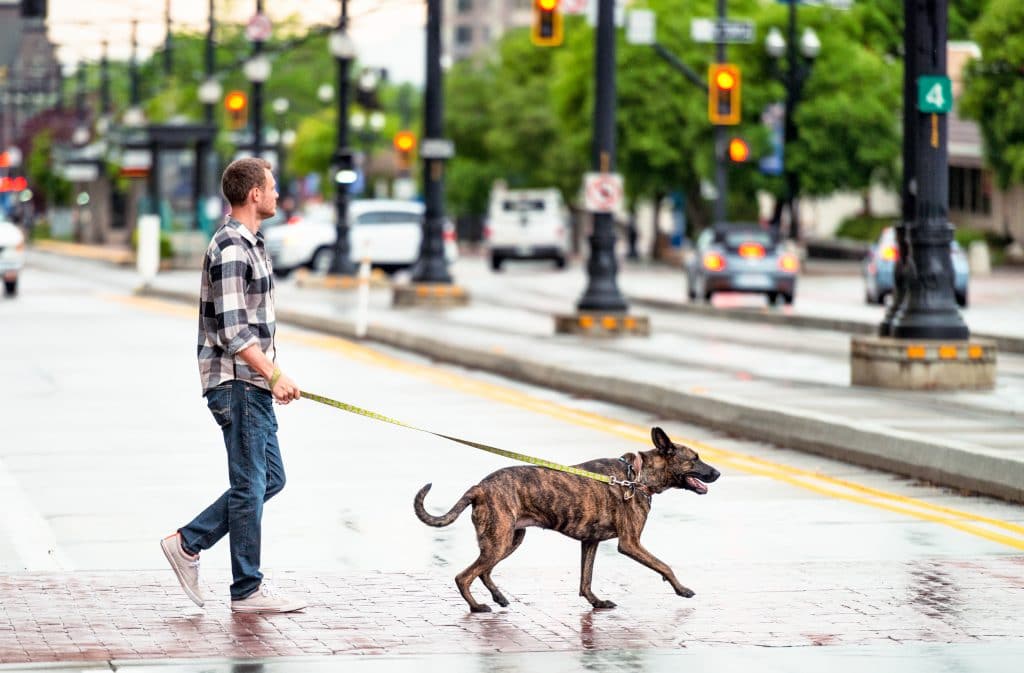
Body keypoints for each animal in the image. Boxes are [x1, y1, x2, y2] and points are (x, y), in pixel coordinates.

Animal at [413, 428, 720, 610]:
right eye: (694, 458)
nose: (717, 473)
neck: (637, 475)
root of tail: (479, 487)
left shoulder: (590, 542)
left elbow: (586, 580)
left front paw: (596, 602)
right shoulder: (630, 543)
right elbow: (664, 565)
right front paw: (682, 589)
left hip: (509, 539)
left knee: (484, 570)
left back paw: (498, 597)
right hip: (499, 540)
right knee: (464, 576)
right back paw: (477, 607)